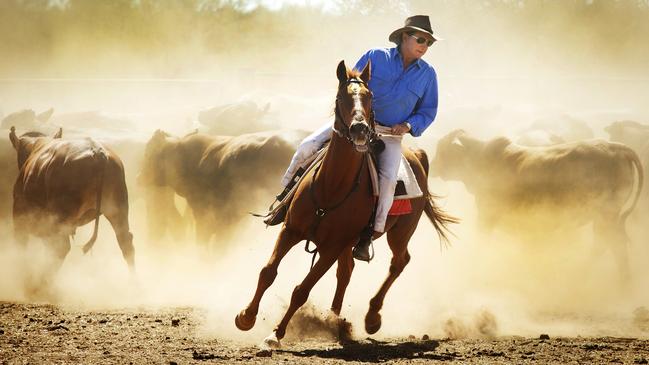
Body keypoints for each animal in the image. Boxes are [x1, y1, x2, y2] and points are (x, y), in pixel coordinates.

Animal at [9, 126, 135, 272]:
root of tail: (97, 153)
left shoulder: (20, 216)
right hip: (118, 209)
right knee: (126, 242)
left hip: (58, 219)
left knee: (60, 248)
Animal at [234, 59, 456, 346]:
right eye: (342, 97)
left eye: (370, 96)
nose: (360, 129)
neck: (331, 187)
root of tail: (418, 155)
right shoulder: (290, 230)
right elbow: (268, 271)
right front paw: (246, 317)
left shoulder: (332, 247)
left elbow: (301, 290)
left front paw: (275, 334)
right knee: (347, 271)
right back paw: (334, 319)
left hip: (400, 232)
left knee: (399, 262)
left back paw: (372, 317)